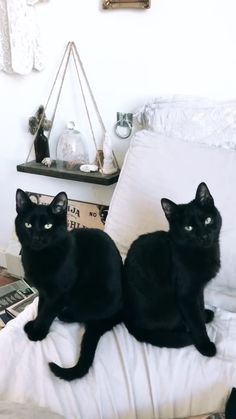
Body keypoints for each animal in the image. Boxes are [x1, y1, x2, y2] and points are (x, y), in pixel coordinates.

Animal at [14, 189, 122, 382]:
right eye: (28, 225)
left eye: (48, 226)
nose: (36, 237)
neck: (40, 257)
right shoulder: (44, 292)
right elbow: (41, 308)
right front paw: (34, 323)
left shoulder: (58, 294)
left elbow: (47, 312)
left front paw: (38, 332)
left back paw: (66, 315)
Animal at [122, 183, 222, 358]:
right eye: (188, 228)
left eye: (208, 220)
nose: (204, 236)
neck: (202, 253)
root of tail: (130, 321)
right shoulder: (186, 294)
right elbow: (196, 322)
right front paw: (205, 344)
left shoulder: (198, 289)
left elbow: (200, 305)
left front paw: (204, 314)